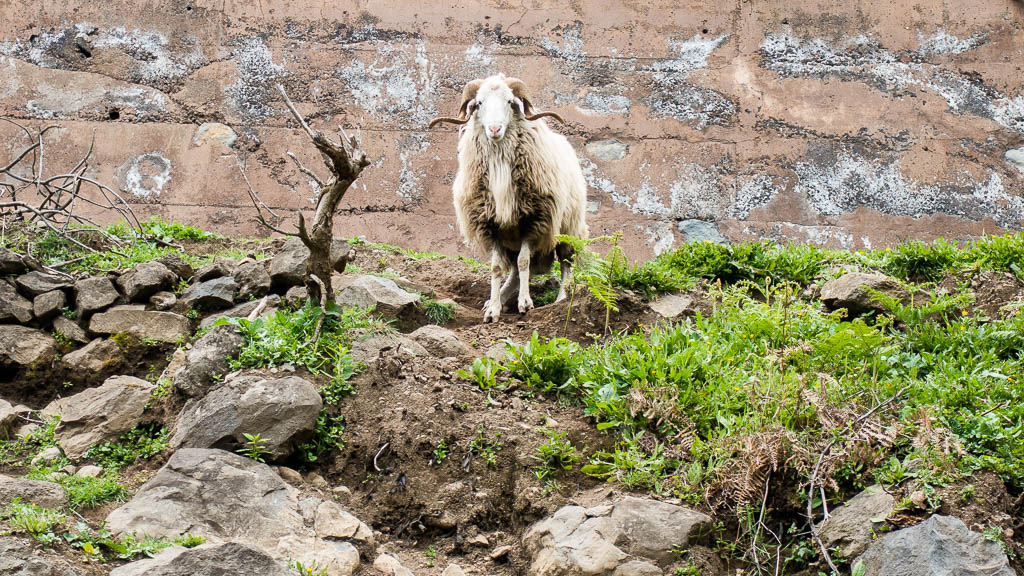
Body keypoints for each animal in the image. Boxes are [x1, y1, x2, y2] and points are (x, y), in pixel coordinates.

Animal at [428, 73, 589, 319]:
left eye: (510, 101)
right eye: (479, 103)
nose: (494, 129)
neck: (500, 166)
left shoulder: (533, 222)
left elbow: (524, 262)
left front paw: (525, 303)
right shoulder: (490, 225)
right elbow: (496, 267)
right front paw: (493, 310)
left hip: (568, 228)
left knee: (565, 263)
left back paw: (561, 298)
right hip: (513, 240)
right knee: (514, 272)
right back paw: (499, 299)